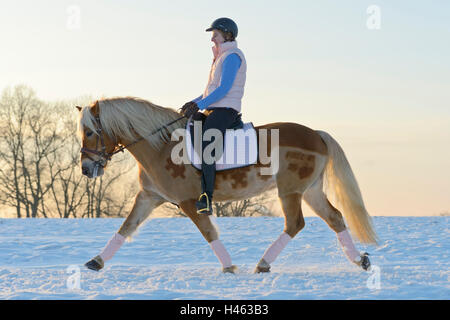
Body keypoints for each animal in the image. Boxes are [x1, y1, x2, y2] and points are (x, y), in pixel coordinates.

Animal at [76, 96, 376, 274]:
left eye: (89, 132)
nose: (86, 169)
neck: (161, 146)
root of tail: (317, 135)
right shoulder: (149, 196)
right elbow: (126, 227)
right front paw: (96, 261)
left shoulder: (189, 201)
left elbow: (209, 232)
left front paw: (230, 267)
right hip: (310, 190)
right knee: (335, 218)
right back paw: (359, 259)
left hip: (290, 191)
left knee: (295, 224)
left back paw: (263, 263)